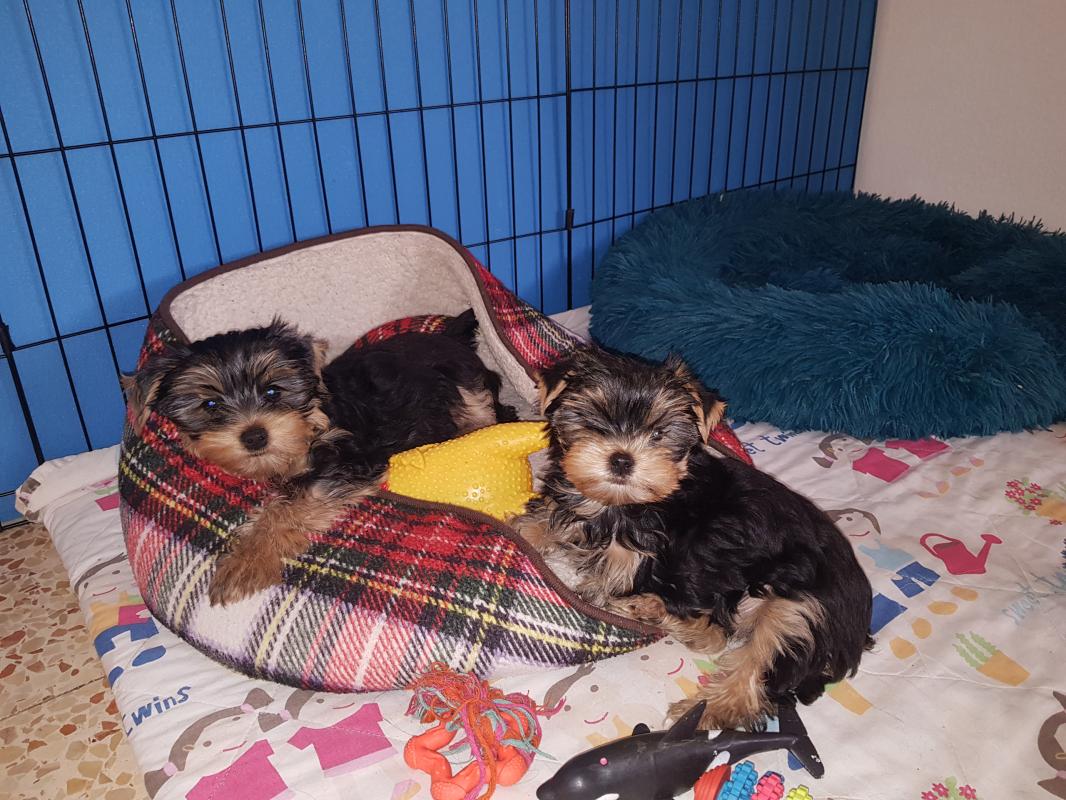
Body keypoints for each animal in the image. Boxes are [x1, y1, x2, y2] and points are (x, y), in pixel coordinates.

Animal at [126, 310, 513, 605]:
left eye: (273, 391)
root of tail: (451, 337)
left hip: (467, 386)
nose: (254, 436)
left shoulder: (347, 459)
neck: (311, 418)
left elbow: (290, 505)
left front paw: (244, 564)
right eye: (210, 405)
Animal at [513, 347, 873, 730]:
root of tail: (857, 630)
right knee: (720, 635)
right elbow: (544, 521)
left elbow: (603, 581)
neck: (619, 502)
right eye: (594, 420)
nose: (621, 459)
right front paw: (520, 531)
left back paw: (704, 709)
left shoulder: (635, 557)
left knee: (753, 659)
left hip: (802, 607)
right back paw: (657, 614)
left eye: (658, 433)